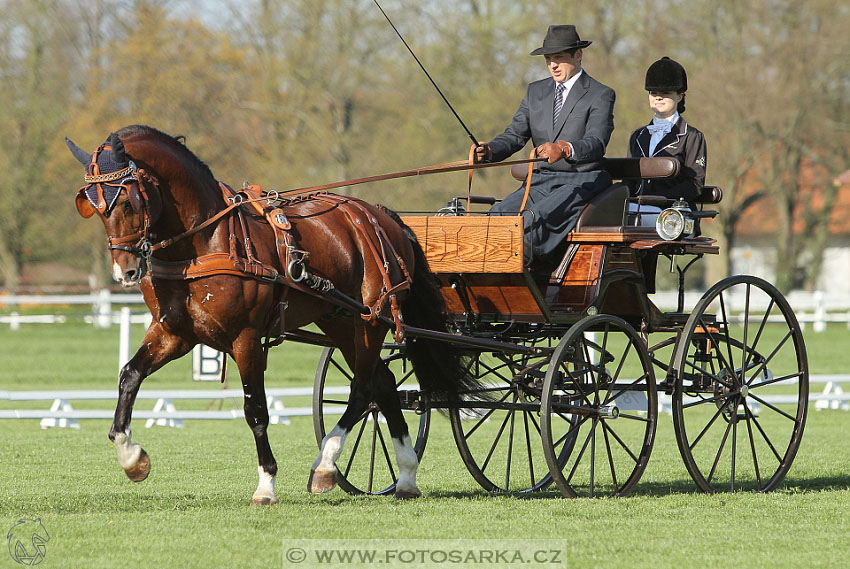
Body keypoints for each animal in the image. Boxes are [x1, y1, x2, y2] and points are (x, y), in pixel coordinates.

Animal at [66, 124, 476, 502]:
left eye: (128, 201)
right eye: (93, 206)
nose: (125, 272)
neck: (205, 241)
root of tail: (382, 217)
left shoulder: (245, 338)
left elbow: (256, 410)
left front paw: (266, 484)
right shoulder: (174, 333)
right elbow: (129, 376)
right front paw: (131, 457)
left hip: (370, 320)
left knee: (362, 389)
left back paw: (325, 465)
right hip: (341, 321)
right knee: (384, 385)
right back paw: (405, 477)